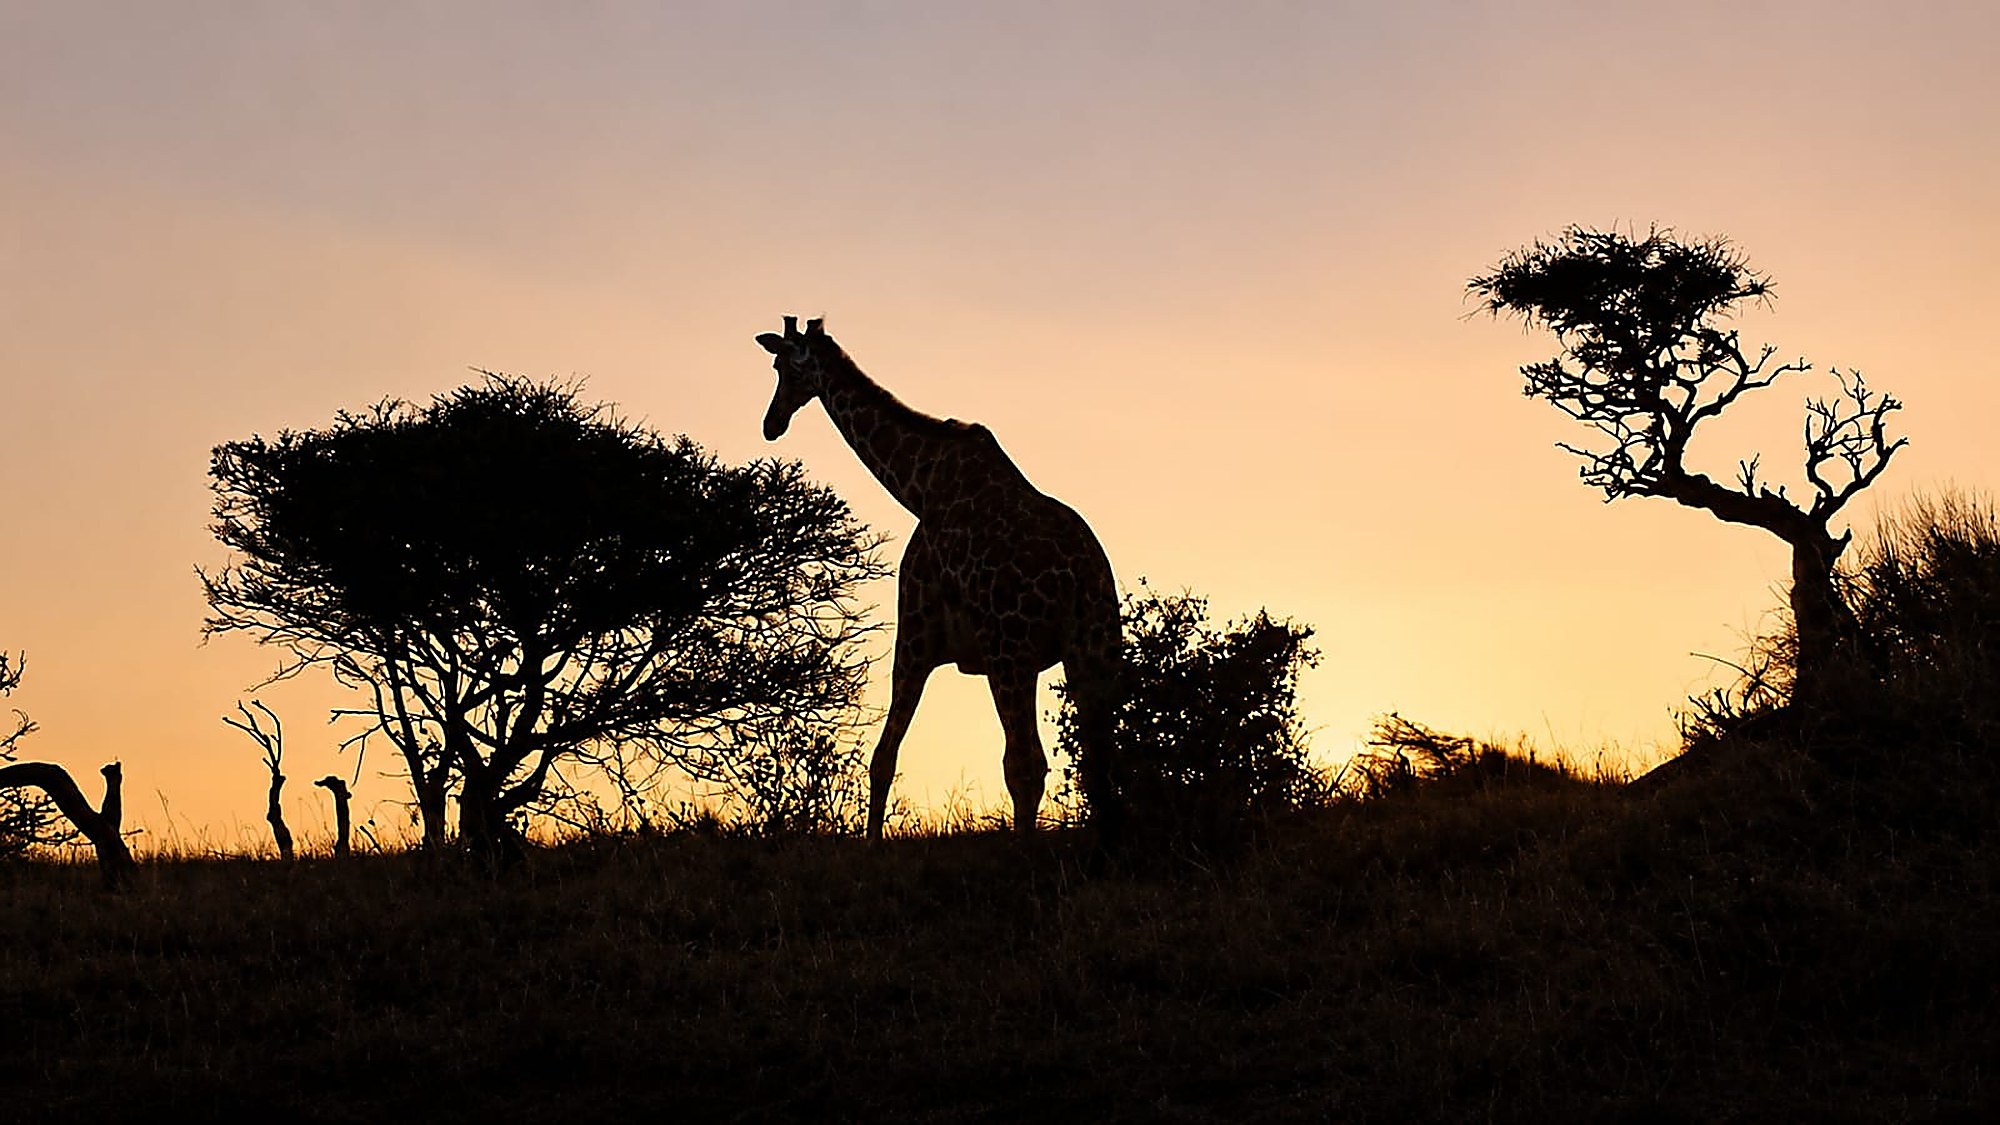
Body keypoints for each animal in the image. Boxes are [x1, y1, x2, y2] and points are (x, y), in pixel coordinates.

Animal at [754, 316, 1123, 840]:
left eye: (781, 366)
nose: (772, 423)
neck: (917, 485)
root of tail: (1078, 578)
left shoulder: (915, 636)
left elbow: (883, 758)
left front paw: (871, 847)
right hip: (1093, 649)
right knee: (1099, 758)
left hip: (1010, 654)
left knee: (1026, 763)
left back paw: (1025, 853)